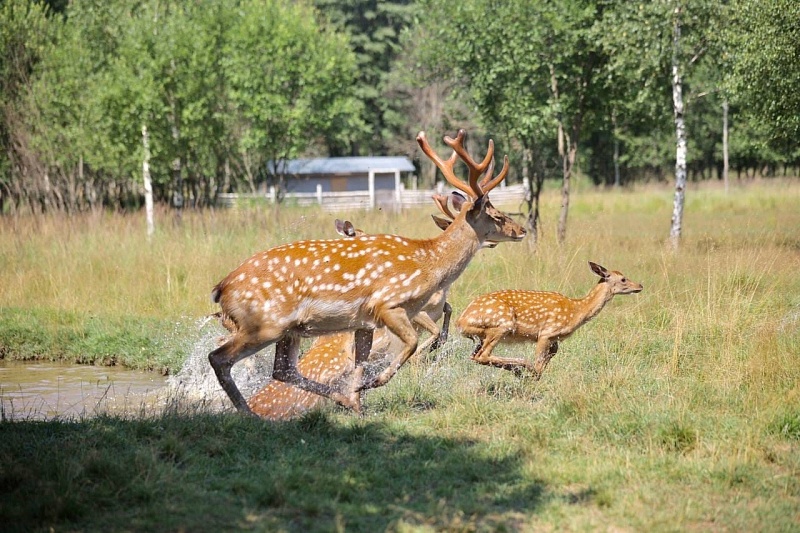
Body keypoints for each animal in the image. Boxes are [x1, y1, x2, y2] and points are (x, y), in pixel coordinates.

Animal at [209, 128, 528, 412]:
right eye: (498, 216)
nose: (522, 230)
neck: (429, 263)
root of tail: (220, 289)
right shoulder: (388, 303)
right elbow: (411, 343)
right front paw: (375, 382)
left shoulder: (363, 322)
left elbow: (361, 362)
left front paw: (359, 399)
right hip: (264, 323)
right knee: (219, 357)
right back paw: (248, 414)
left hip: (289, 329)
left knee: (282, 369)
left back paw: (340, 400)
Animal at [456, 262, 644, 378]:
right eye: (623, 279)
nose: (640, 285)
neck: (577, 310)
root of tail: (460, 321)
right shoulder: (546, 333)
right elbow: (539, 364)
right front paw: (531, 380)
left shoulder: (555, 340)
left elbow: (547, 360)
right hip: (502, 325)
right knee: (483, 355)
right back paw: (522, 365)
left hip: (481, 336)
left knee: (475, 356)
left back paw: (518, 369)